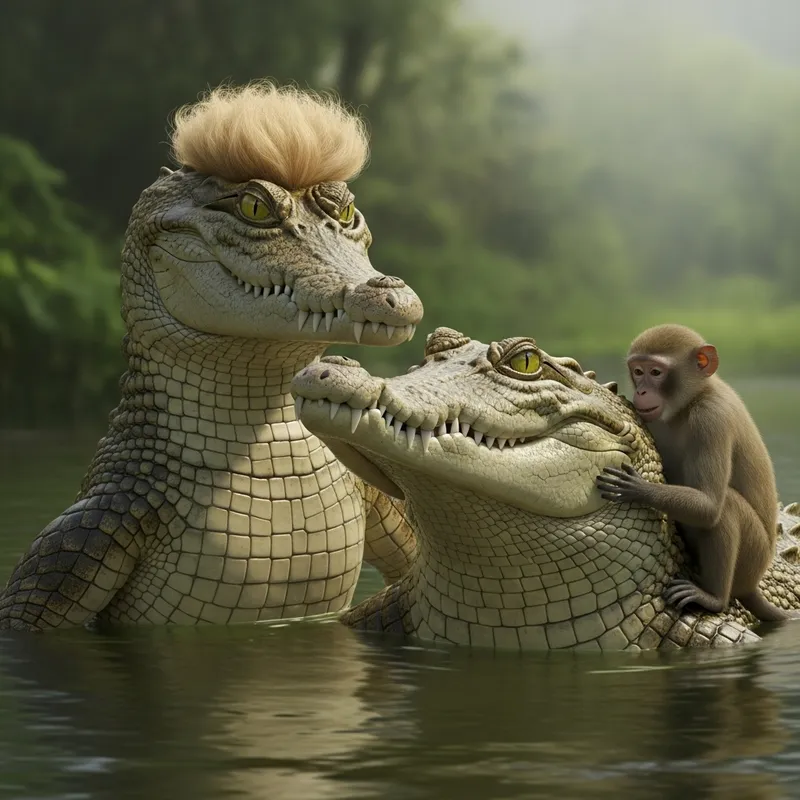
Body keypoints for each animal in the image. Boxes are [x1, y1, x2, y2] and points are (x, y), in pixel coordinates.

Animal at [595, 323, 791, 622]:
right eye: (638, 371)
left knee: (725, 507)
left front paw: (637, 488)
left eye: (655, 372)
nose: (641, 392)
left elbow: (708, 506)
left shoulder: (711, 418)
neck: (692, 400)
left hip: (752, 556)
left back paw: (714, 598)